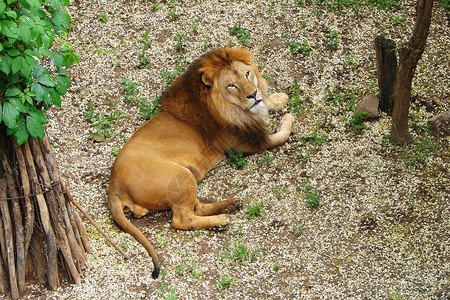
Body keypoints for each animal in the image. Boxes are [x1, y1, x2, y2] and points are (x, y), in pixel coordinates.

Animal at [107, 47, 294, 278]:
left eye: (247, 74)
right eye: (231, 85)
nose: (252, 94)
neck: (229, 107)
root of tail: (114, 187)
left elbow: (267, 103)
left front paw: (278, 97)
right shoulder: (244, 143)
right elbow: (280, 136)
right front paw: (287, 118)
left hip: (185, 180)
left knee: (197, 207)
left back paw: (230, 205)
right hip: (181, 177)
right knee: (182, 219)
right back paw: (221, 220)